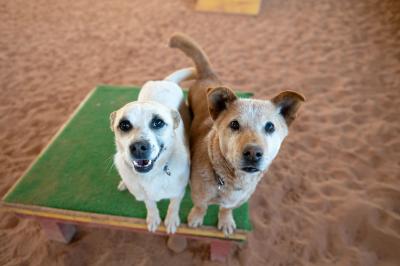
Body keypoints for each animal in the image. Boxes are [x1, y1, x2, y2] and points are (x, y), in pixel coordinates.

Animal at [110, 68, 195, 233]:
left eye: (158, 122)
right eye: (124, 125)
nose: (138, 147)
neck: (151, 175)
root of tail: (164, 81)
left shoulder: (178, 192)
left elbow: (173, 206)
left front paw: (171, 220)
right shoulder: (145, 195)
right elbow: (150, 204)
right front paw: (153, 218)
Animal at [170, 33, 306, 235]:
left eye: (270, 127)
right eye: (234, 124)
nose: (253, 153)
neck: (230, 181)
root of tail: (208, 74)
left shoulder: (237, 200)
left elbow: (226, 209)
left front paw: (226, 221)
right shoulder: (199, 194)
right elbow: (201, 206)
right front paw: (196, 218)